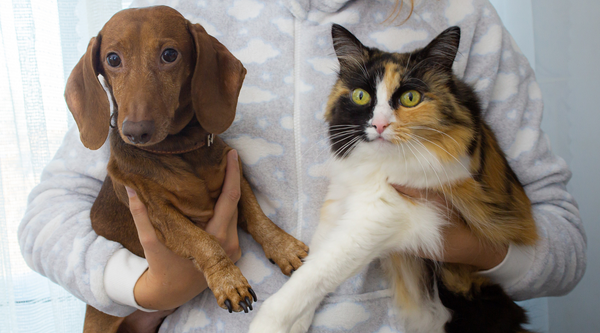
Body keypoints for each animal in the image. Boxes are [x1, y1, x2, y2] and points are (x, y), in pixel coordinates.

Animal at [65, 5, 310, 332]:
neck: (178, 149)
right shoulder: (158, 212)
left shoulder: (235, 175)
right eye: (113, 59)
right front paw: (229, 281)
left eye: (170, 54)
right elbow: (203, 241)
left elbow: (258, 216)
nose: (135, 132)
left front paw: (282, 247)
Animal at [246, 24, 536, 332]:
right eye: (361, 96)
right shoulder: (339, 203)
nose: (380, 125)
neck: (377, 164)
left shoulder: (383, 214)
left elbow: (312, 276)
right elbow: (313, 267)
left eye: (410, 98)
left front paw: (266, 325)